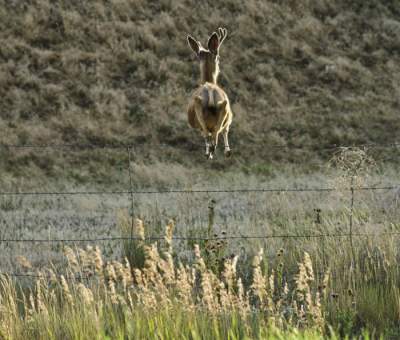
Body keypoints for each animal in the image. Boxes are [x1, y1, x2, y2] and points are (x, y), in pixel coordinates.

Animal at [188, 26, 234, 159]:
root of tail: (210, 90)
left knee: (210, 134)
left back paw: (210, 152)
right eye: (218, 58)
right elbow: (225, 130)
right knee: (215, 133)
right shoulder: (229, 119)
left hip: (201, 106)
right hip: (224, 107)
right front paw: (226, 150)